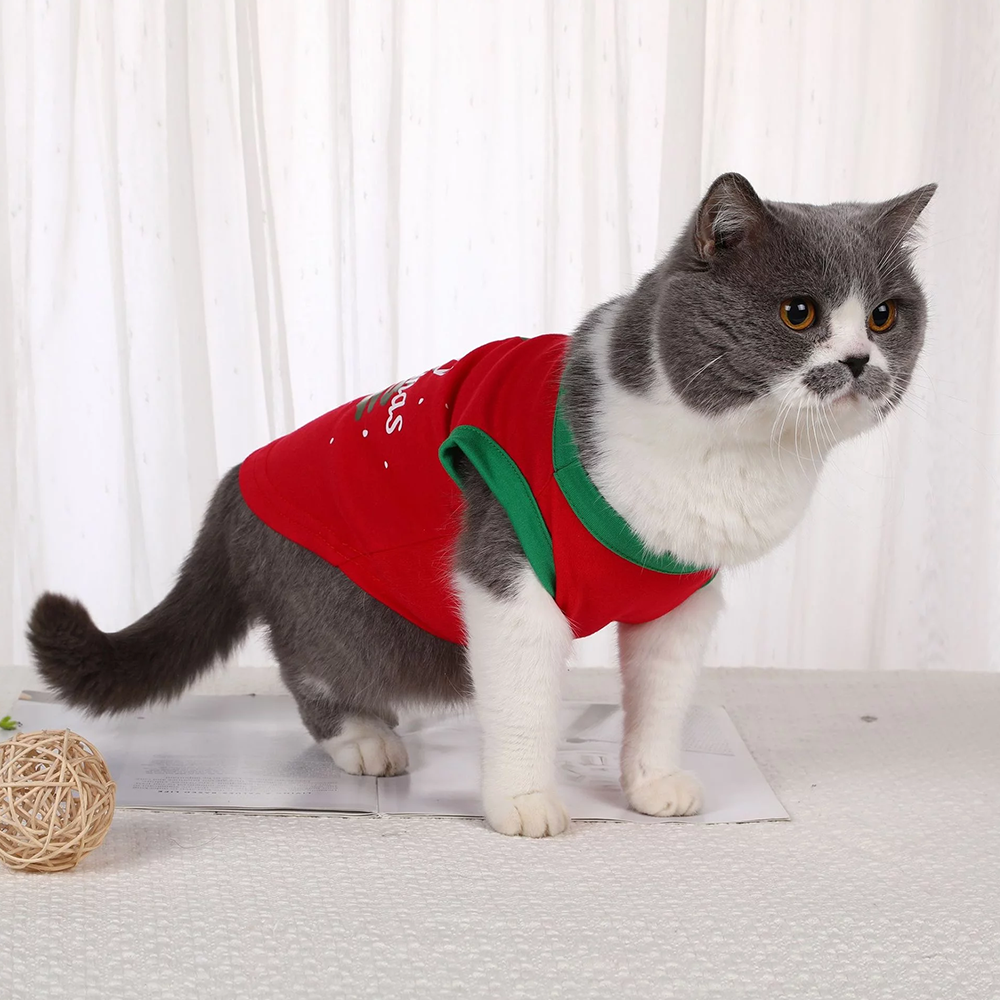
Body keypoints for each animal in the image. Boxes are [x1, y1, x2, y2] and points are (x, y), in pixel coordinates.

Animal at [26, 173, 935, 837]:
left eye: (885, 316)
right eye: (799, 313)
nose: (861, 362)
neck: (737, 453)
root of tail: (232, 487)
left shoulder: (681, 600)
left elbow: (662, 699)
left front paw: (652, 783)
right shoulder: (508, 575)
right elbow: (524, 703)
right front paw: (525, 804)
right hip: (350, 615)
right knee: (311, 664)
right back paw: (365, 738)